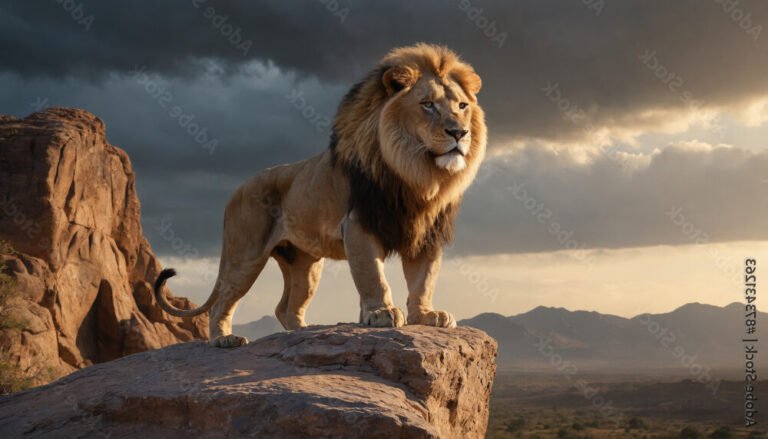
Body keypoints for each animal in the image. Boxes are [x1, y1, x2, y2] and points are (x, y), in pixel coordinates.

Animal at [154, 43, 487, 347]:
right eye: (427, 104)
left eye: (461, 107)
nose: (459, 133)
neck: (418, 176)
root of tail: (238, 188)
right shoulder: (358, 224)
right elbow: (373, 275)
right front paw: (381, 313)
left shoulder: (427, 232)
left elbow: (423, 279)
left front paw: (427, 315)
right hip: (245, 254)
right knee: (222, 302)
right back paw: (224, 339)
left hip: (305, 265)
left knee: (286, 308)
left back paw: (303, 334)